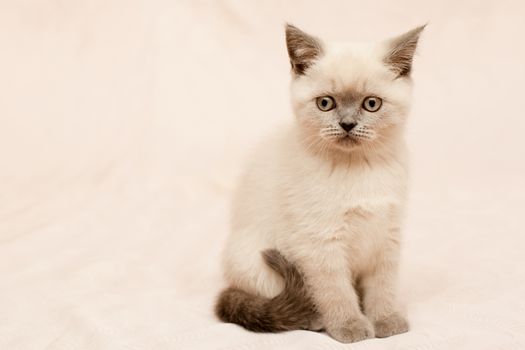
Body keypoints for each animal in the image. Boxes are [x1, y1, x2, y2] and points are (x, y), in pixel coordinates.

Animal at [213, 23, 422, 344]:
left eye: (371, 104)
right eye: (326, 103)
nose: (347, 125)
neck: (359, 168)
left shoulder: (387, 234)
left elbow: (382, 287)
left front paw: (386, 321)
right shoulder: (320, 242)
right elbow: (336, 292)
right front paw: (351, 326)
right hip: (252, 259)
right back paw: (314, 320)